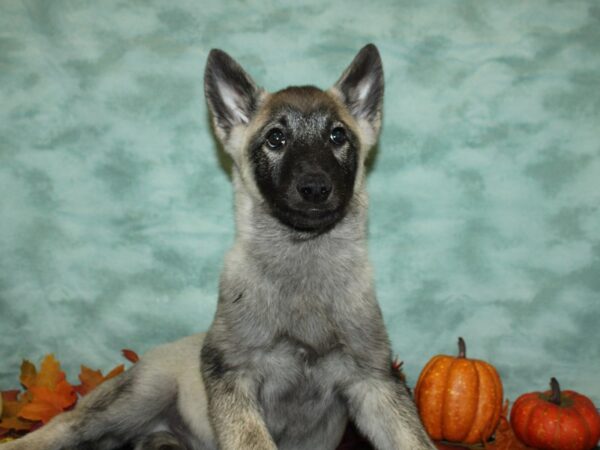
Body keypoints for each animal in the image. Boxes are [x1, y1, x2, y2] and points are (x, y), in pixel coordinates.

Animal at [2, 43, 438, 450]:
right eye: (276, 138)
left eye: (338, 136)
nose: (315, 188)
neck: (302, 262)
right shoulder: (234, 377)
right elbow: (252, 438)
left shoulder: (375, 384)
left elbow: (413, 438)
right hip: (135, 397)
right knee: (64, 428)